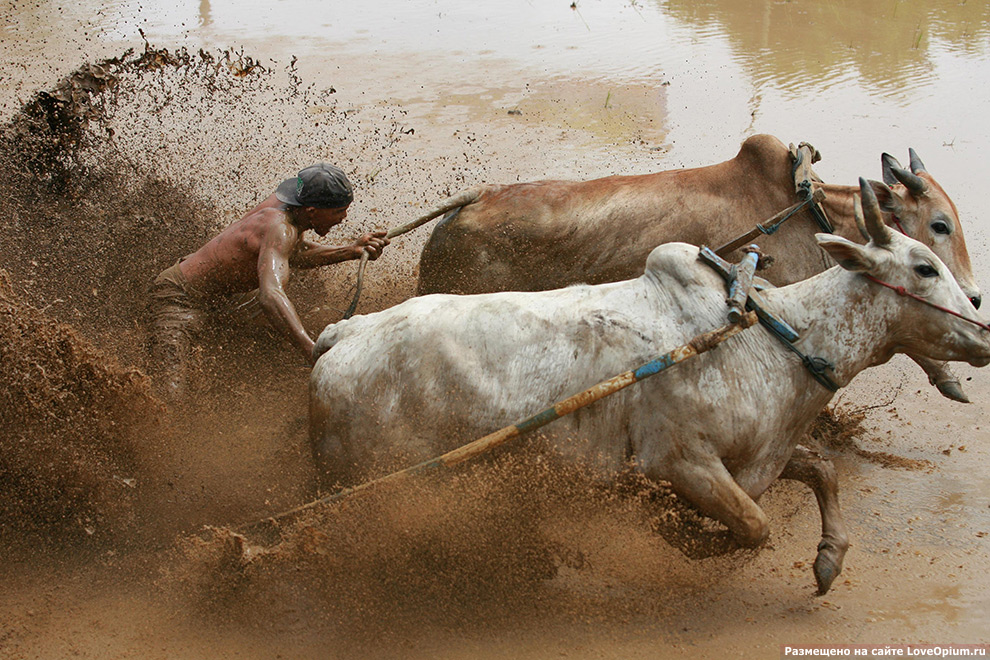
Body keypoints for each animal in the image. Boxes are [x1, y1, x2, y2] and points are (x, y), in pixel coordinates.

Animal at [312, 179, 990, 592]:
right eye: (924, 265)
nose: (983, 328)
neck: (776, 335)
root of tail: (342, 336)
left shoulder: (761, 454)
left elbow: (821, 468)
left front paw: (828, 559)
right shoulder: (680, 462)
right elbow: (754, 528)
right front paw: (679, 536)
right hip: (380, 483)